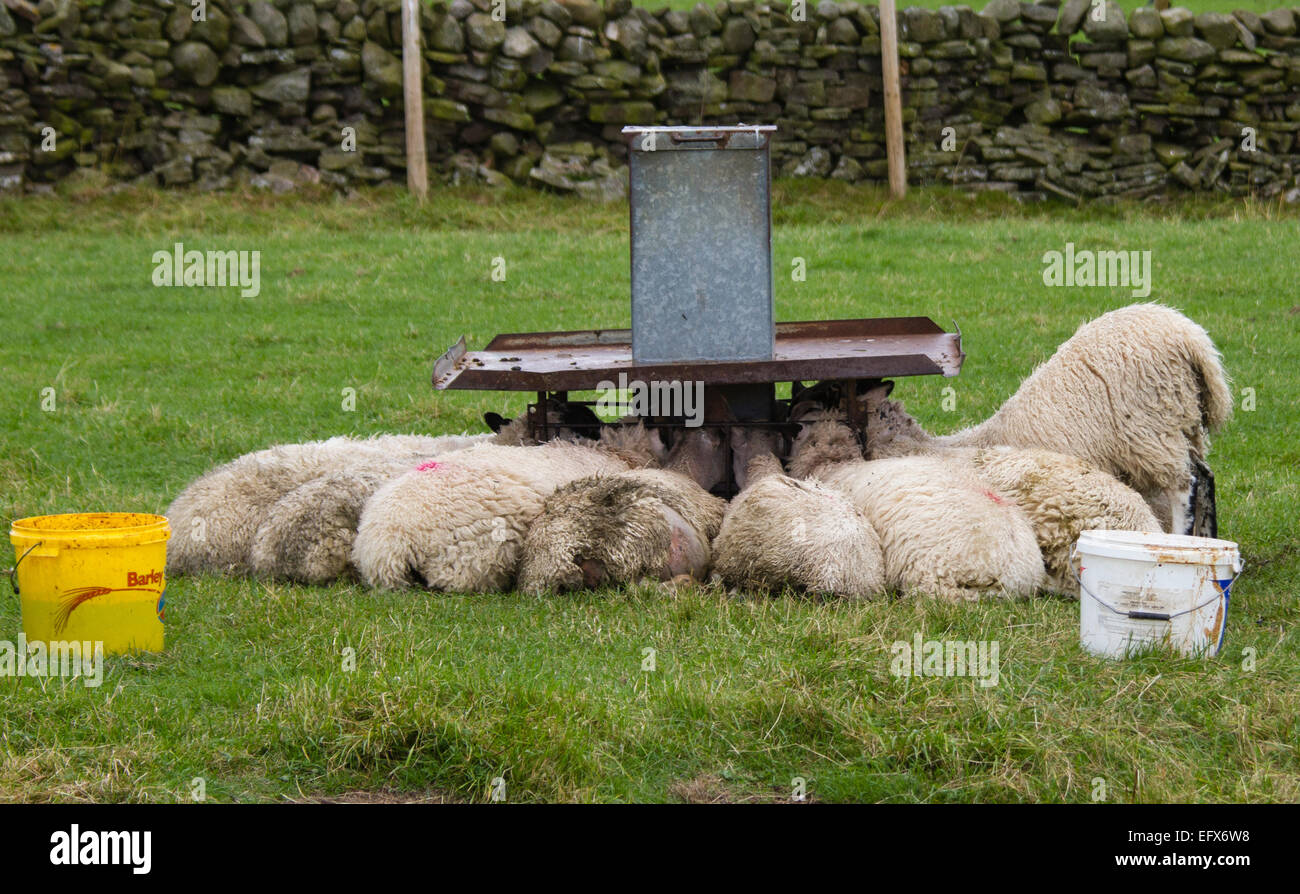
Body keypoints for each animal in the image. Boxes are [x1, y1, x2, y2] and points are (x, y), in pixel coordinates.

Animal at [859, 303, 1232, 535]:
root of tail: (1190, 338)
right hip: (1183, 420)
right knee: (1205, 475)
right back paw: (1208, 539)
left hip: (1150, 427)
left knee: (1184, 484)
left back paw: (1181, 537)